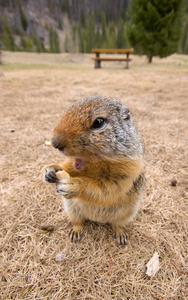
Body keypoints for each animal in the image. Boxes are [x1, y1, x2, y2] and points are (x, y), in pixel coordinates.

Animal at [42, 95, 145, 245]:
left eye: (98, 122)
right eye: (66, 111)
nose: (55, 142)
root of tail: (98, 219)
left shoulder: (128, 171)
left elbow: (108, 188)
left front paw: (75, 185)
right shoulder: (74, 164)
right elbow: (68, 167)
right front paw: (50, 169)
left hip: (126, 214)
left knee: (117, 224)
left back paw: (120, 234)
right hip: (73, 210)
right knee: (79, 222)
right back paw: (75, 231)